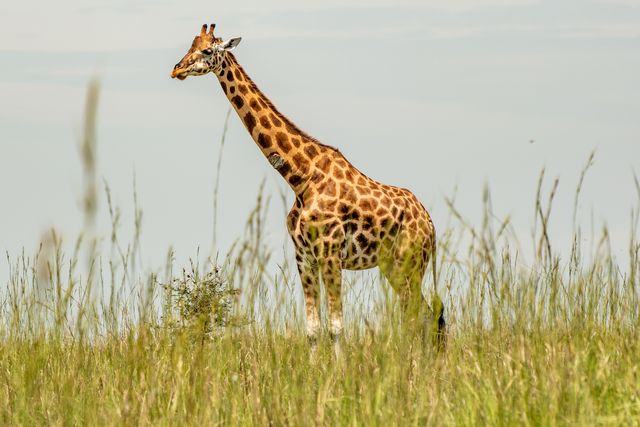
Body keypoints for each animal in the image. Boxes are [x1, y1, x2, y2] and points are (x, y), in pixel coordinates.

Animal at [172, 23, 448, 346]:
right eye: (190, 46)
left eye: (206, 50)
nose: (177, 69)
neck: (300, 178)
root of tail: (430, 224)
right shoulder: (303, 257)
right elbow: (313, 331)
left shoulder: (329, 253)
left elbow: (336, 328)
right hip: (392, 264)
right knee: (426, 316)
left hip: (410, 261)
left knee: (421, 317)